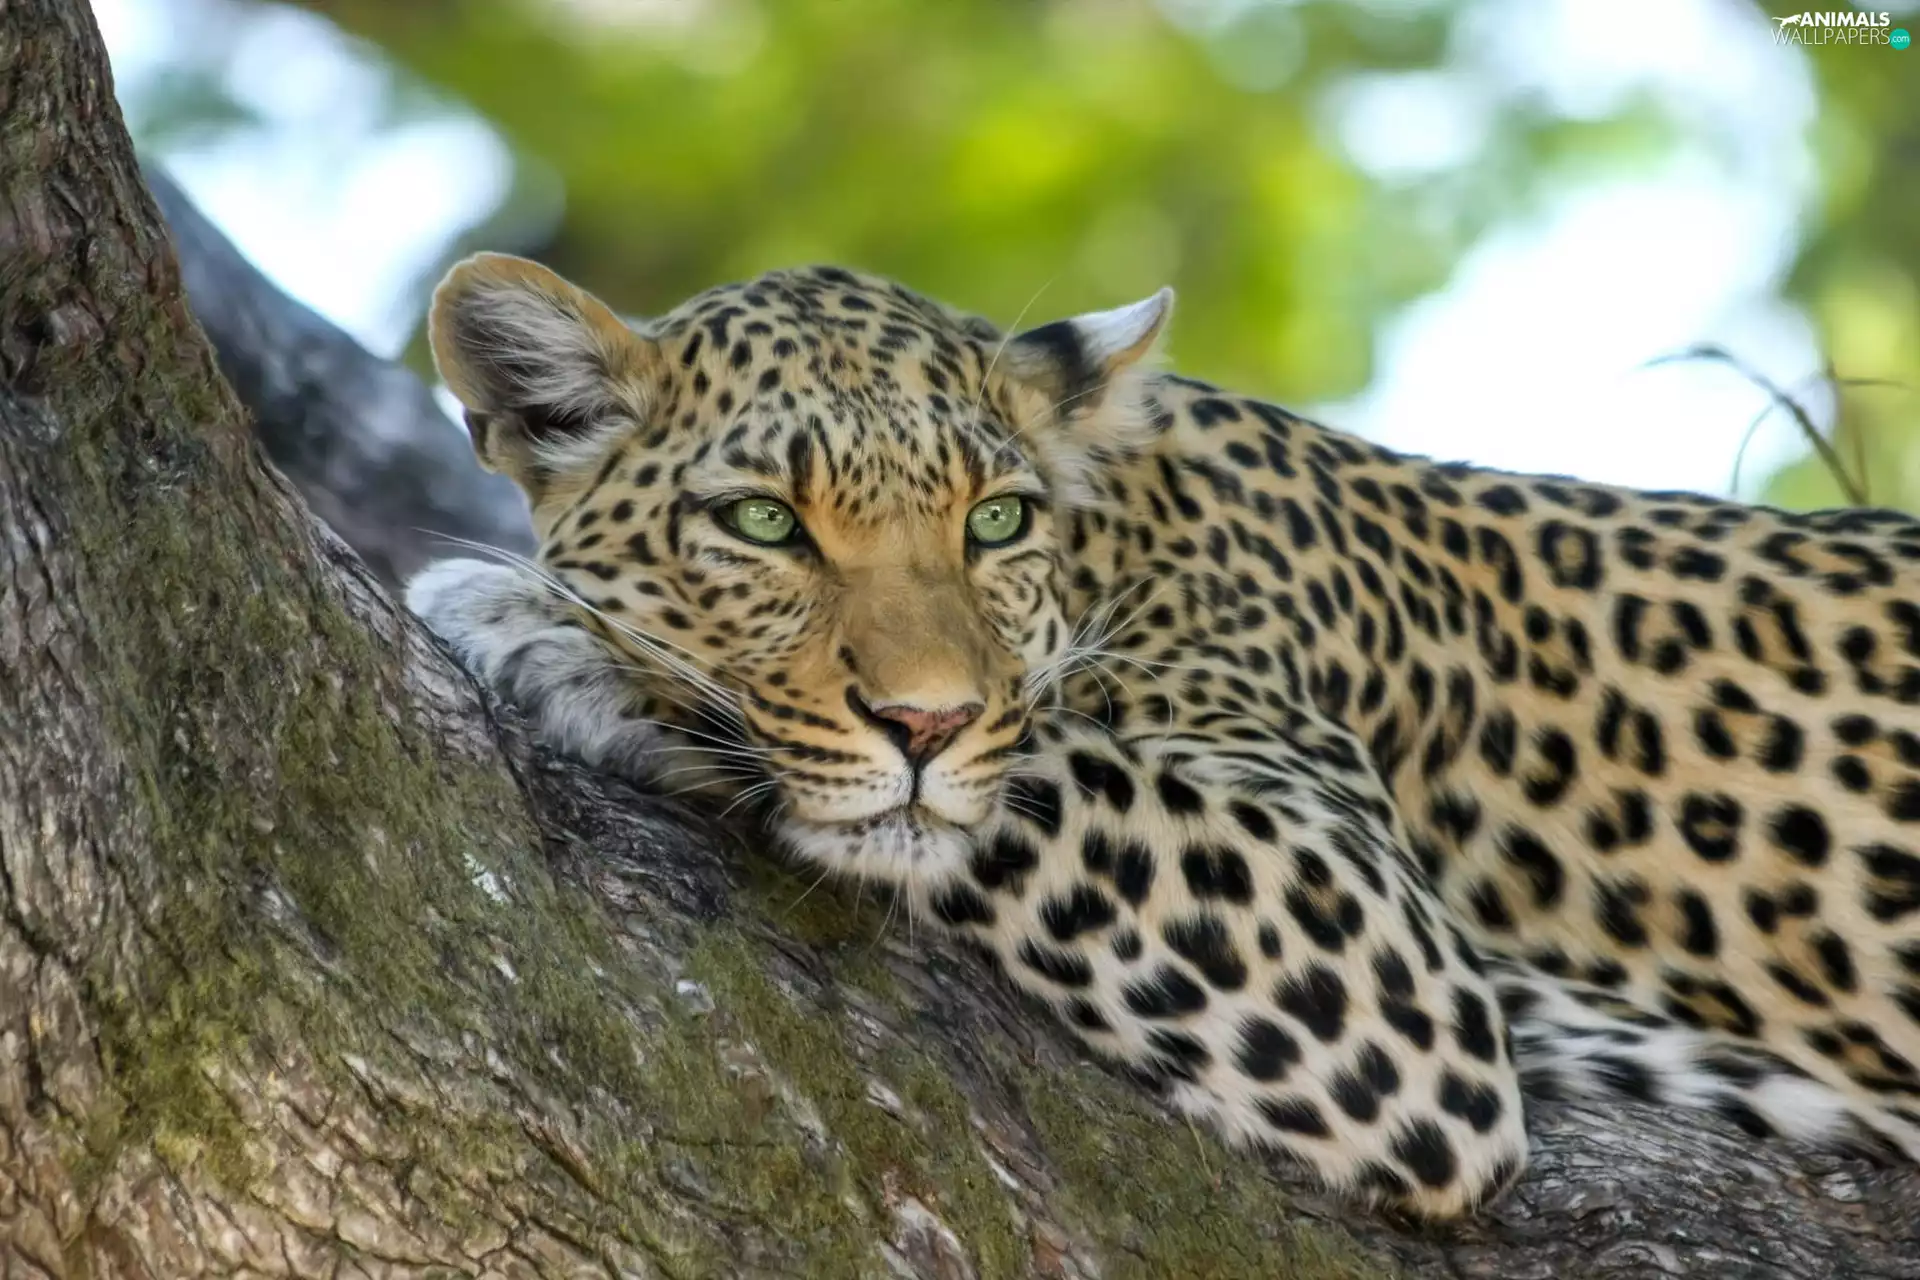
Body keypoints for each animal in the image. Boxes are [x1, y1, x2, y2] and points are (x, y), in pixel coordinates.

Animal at [404, 250, 1920, 1219]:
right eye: (765, 522)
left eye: (994, 521)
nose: (925, 718)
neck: (1119, 536)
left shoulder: (1380, 955)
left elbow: (1035, 775)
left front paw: (555, 632)